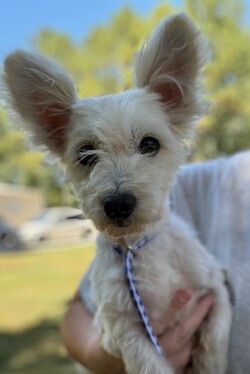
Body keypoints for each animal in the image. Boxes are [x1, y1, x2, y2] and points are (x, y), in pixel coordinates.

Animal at [2, 13, 231, 372]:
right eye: (86, 154)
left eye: (150, 144)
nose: (119, 204)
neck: (138, 248)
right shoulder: (119, 327)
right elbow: (149, 363)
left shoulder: (214, 290)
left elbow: (215, 343)